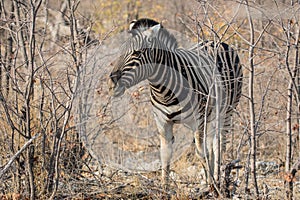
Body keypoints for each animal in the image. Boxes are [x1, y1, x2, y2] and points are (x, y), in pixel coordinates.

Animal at [106, 18, 243, 188]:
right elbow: (165, 155)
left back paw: (217, 180)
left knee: (219, 144)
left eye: (137, 53)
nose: (112, 80)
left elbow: (201, 153)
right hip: (210, 116)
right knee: (211, 144)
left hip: (226, 112)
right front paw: (164, 188)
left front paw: (212, 187)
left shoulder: (198, 121)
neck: (164, 91)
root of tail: (216, 41)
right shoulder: (163, 122)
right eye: (121, 51)